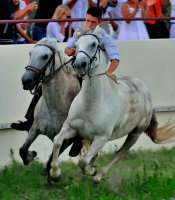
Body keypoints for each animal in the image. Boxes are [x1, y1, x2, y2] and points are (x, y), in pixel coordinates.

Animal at [19, 37, 81, 166]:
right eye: (30, 54)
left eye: (45, 56)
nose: (26, 81)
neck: (54, 105)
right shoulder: (35, 128)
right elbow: (22, 150)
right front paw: (31, 155)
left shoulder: (65, 140)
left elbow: (50, 163)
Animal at [48, 27, 175, 182]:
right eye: (76, 45)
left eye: (93, 44)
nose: (79, 64)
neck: (91, 104)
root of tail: (146, 92)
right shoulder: (71, 128)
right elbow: (57, 141)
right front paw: (55, 173)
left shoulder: (101, 138)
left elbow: (83, 161)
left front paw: (91, 171)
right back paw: (79, 178)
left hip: (135, 133)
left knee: (119, 154)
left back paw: (97, 176)